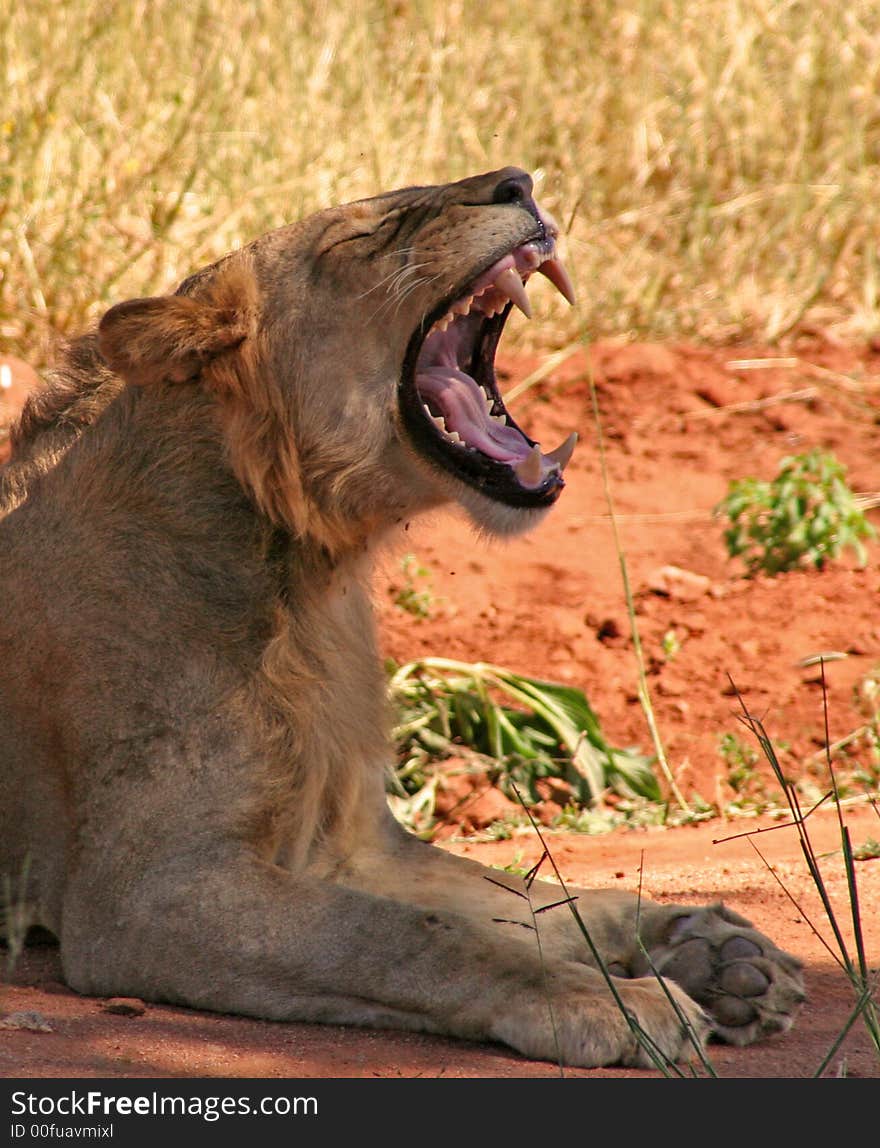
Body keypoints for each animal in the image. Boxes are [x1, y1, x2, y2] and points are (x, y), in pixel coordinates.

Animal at [0, 167, 807, 1065]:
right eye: (363, 236)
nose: (519, 181)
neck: (307, 581)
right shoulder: (147, 896)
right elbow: (414, 937)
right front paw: (617, 1002)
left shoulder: (355, 841)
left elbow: (537, 898)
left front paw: (712, 952)